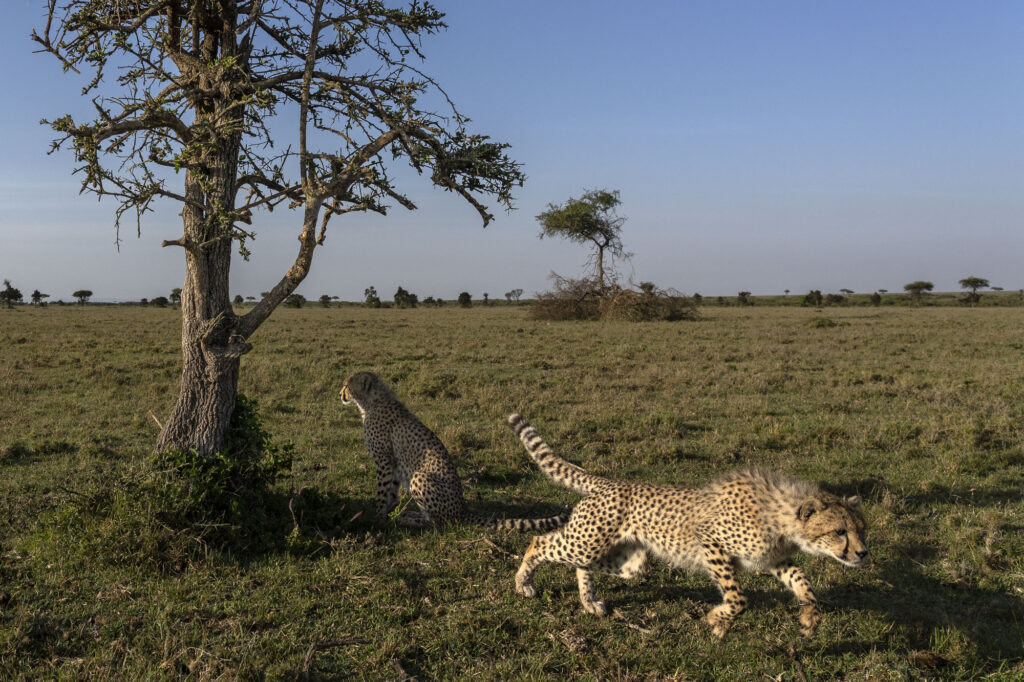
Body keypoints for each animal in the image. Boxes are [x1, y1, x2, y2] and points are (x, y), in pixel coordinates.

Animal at [339, 371, 569, 531]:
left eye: (347, 386)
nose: (340, 394)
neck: (371, 402)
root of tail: (462, 509)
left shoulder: (384, 460)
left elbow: (382, 491)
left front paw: (378, 517)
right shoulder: (393, 462)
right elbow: (392, 492)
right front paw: (387, 514)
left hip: (420, 476)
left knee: (441, 523)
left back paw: (410, 521)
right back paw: (409, 515)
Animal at [506, 413, 868, 640]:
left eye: (861, 529)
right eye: (840, 531)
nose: (863, 554)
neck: (783, 516)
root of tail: (608, 482)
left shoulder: (773, 559)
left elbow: (804, 584)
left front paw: (809, 621)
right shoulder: (710, 541)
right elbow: (738, 597)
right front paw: (718, 620)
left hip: (628, 561)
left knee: (584, 565)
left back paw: (589, 602)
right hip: (586, 542)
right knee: (540, 543)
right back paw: (524, 584)